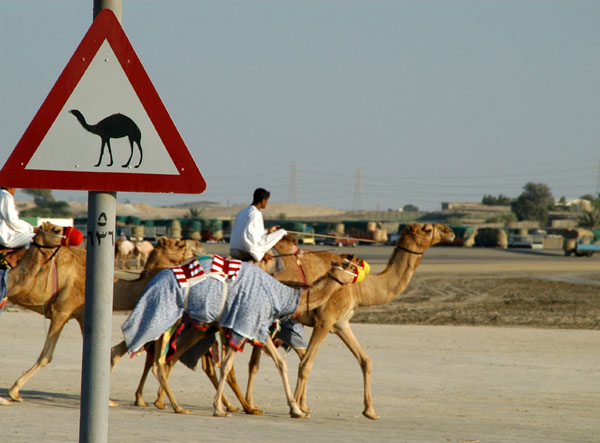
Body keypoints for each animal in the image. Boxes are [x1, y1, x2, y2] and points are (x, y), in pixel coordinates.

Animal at [2, 229, 205, 406]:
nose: (200, 245)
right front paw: (14, 391)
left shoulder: (82, 315)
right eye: (179, 244)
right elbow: (46, 355)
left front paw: (104, 399)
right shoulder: (62, 311)